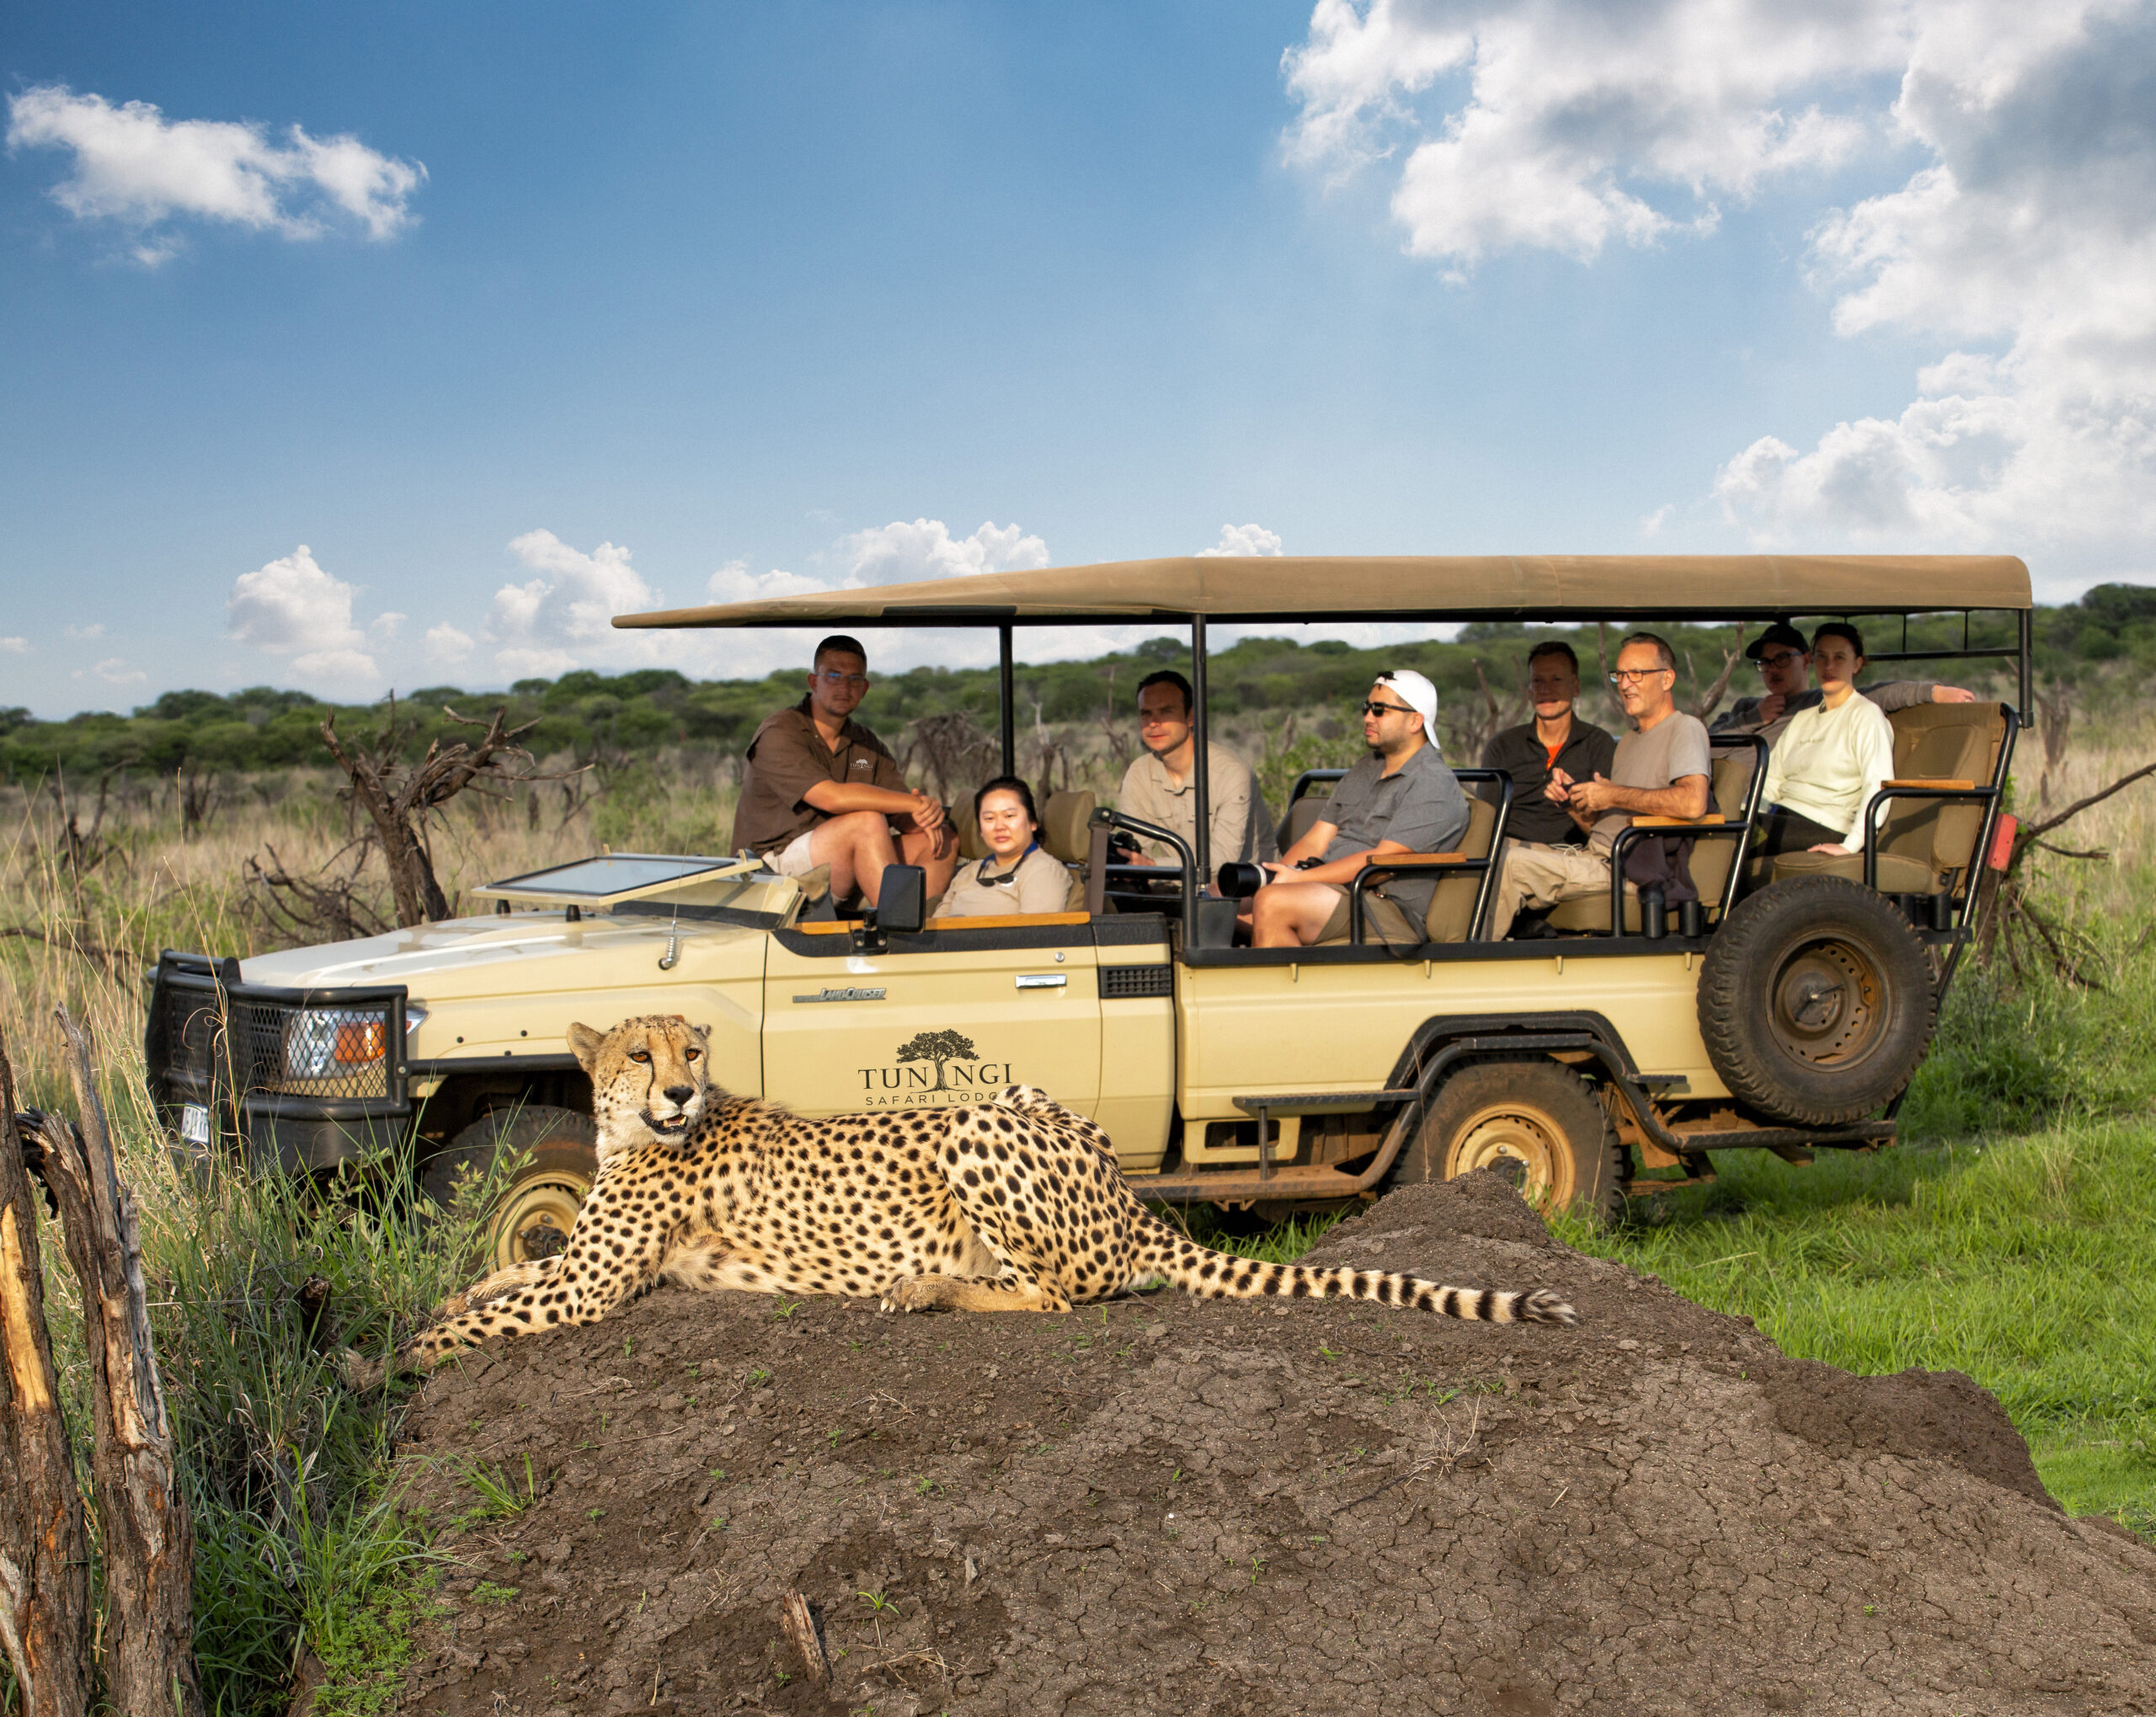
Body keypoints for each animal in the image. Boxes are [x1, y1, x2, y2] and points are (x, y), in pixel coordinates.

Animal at [381, 1013, 1579, 1375]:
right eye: (641, 1051)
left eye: (692, 1048)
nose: (678, 1087)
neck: (631, 1127)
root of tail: (1126, 1191)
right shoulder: (573, 1263)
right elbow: (495, 1279)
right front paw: (434, 1309)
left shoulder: (592, 1290)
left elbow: (485, 1317)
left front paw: (393, 1360)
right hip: (1020, 1093)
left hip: (972, 1121)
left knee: (1070, 1295)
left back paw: (927, 1291)